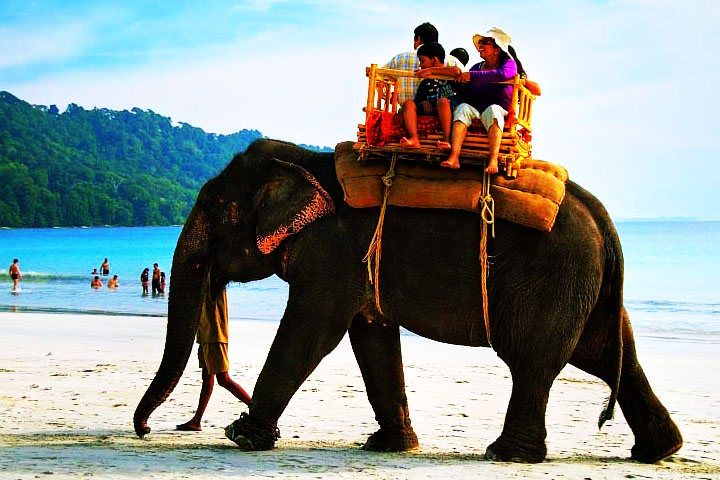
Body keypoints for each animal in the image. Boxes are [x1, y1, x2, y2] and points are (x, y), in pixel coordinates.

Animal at [134, 139, 683, 463]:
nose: (145, 431)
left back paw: (506, 455)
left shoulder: (336, 253)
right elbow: (371, 335)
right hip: (584, 288)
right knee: (607, 353)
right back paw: (658, 451)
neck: (303, 159)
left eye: (213, 208)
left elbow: (314, 329)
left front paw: (241, 437)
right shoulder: (357, 263)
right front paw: (390, 447)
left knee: (534, 361)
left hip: (554, 279)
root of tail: (603, 217)